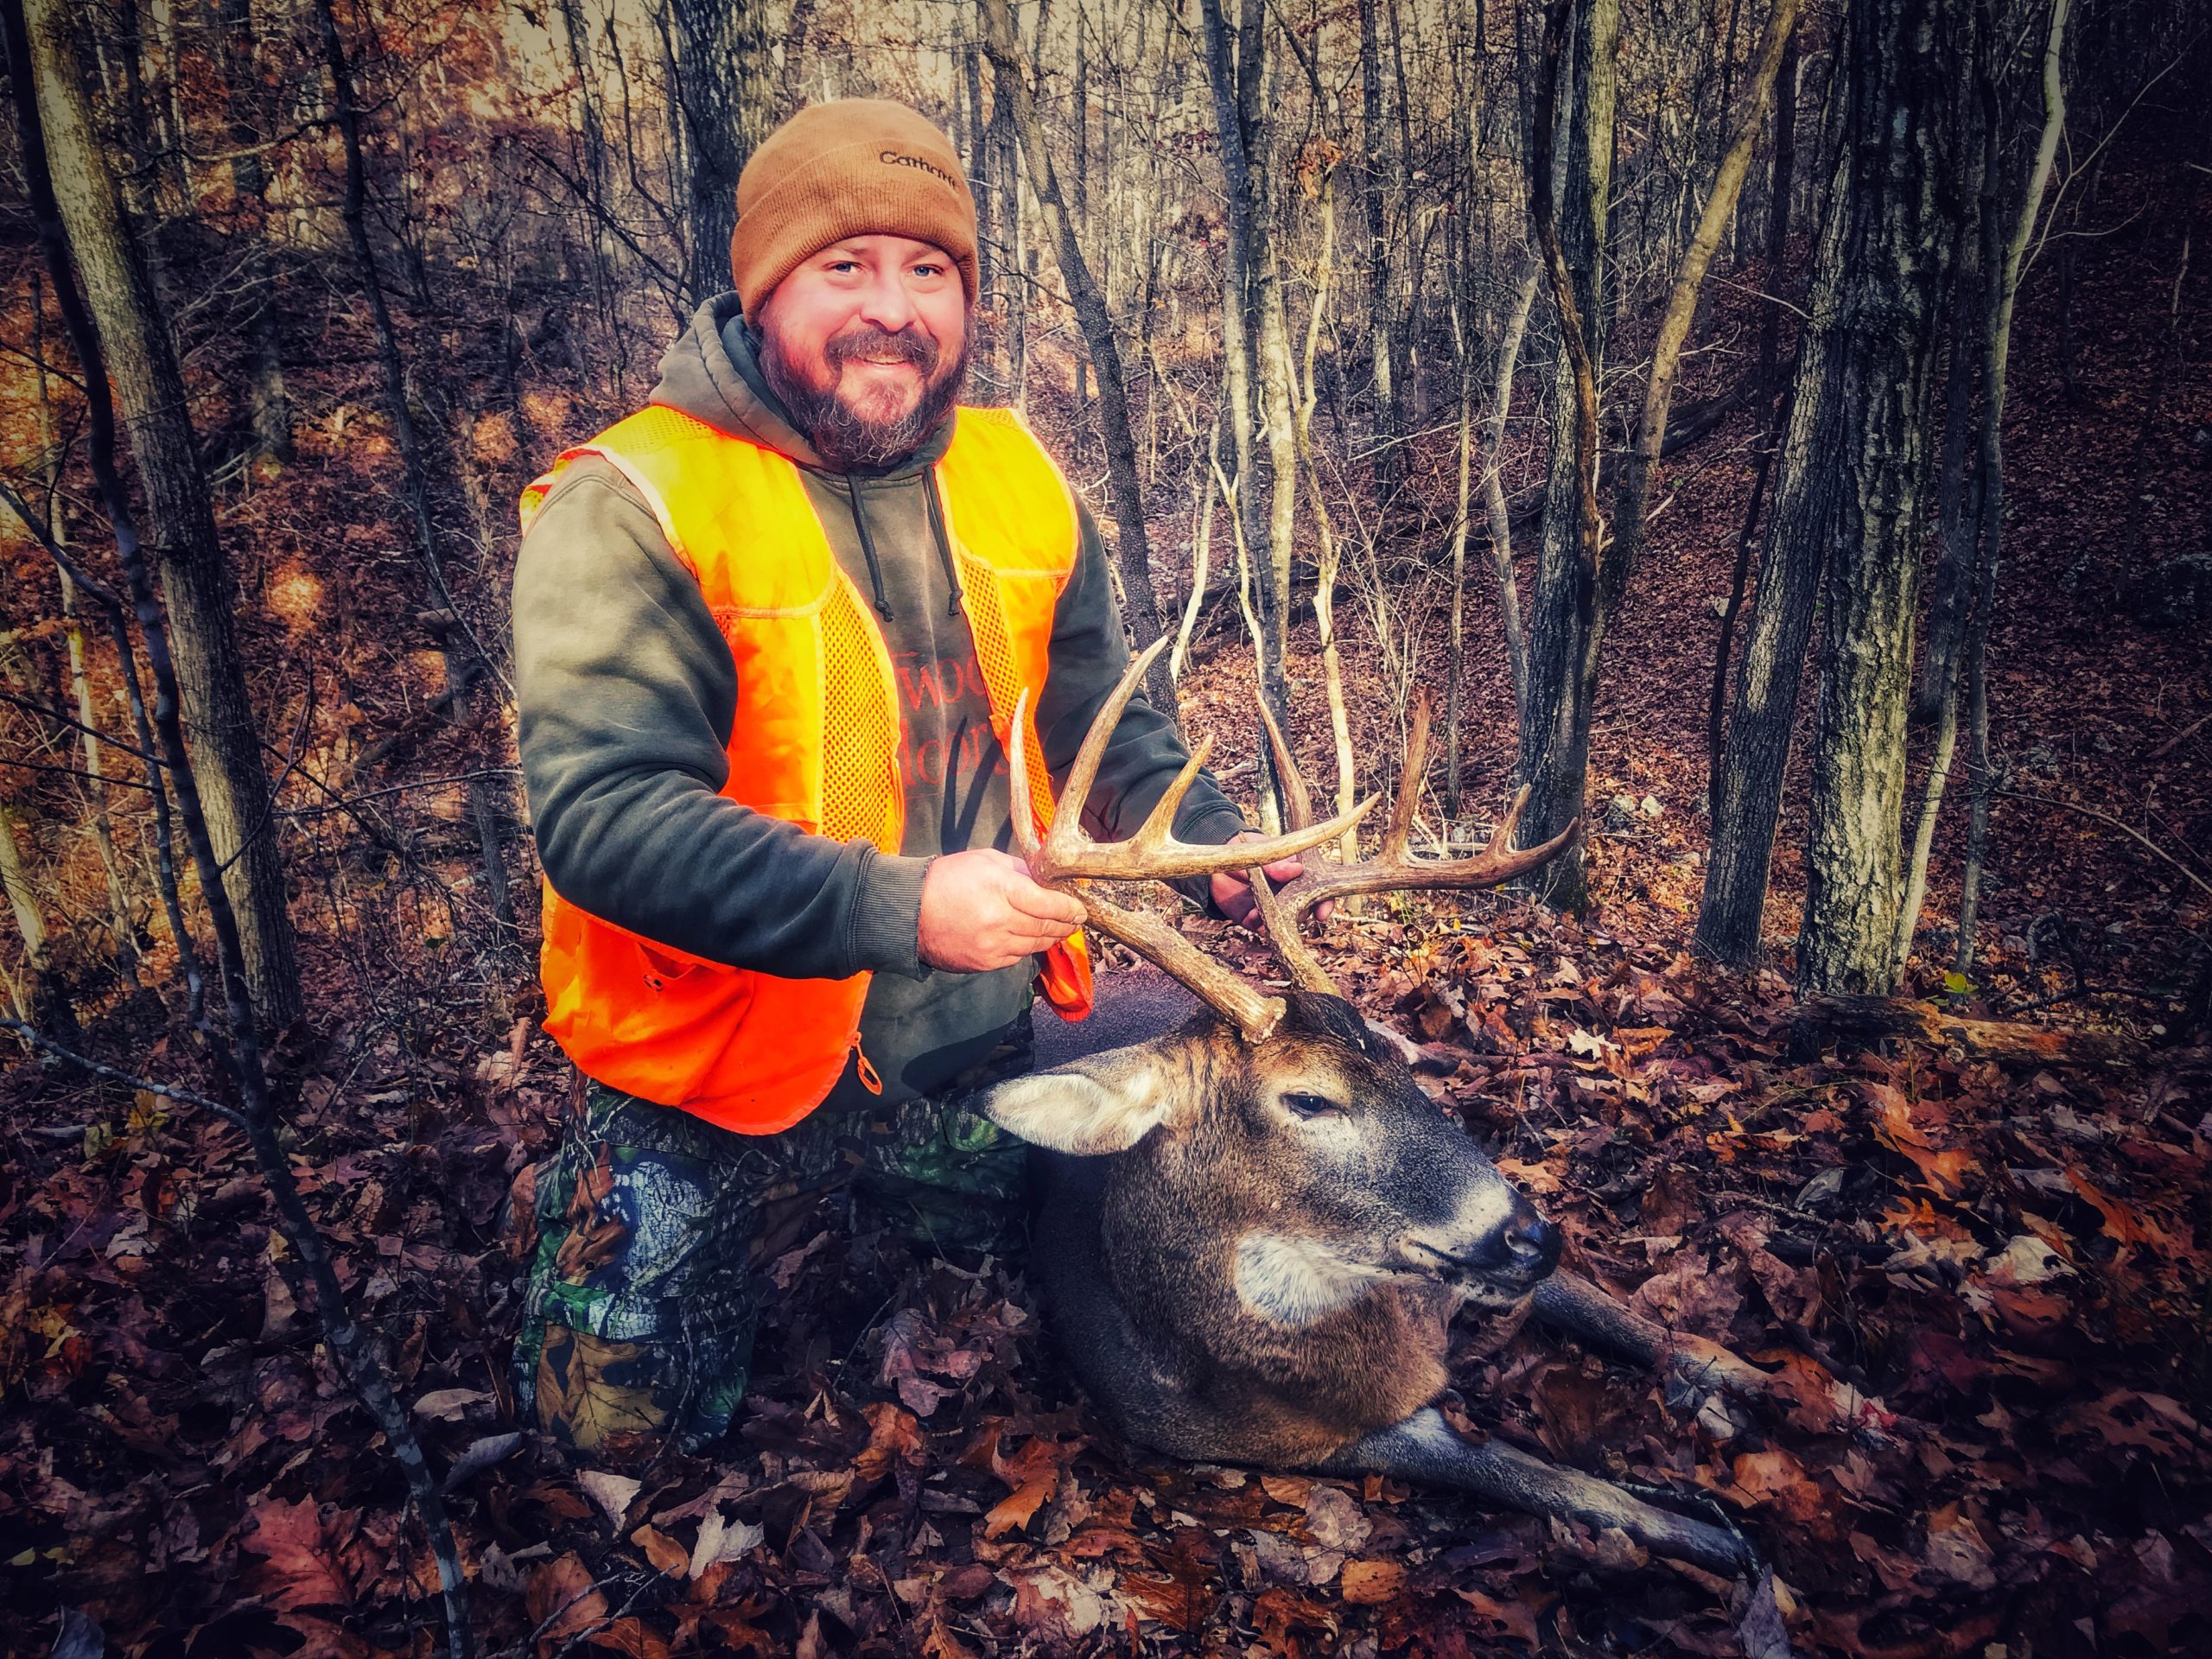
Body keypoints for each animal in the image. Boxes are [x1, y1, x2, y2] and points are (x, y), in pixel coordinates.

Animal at [976, 639, 1880, 1577]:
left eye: (1394, 1052)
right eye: (1308, 1098)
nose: (1533, 1235)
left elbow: (1660, 1330)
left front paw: (1818, 1399)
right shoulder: (1338, 1437)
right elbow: (1564, 1486)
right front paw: (1724, 1540)